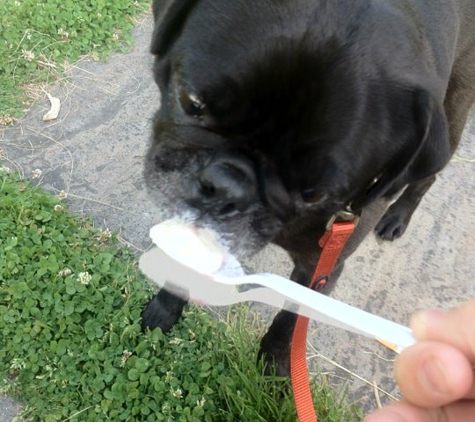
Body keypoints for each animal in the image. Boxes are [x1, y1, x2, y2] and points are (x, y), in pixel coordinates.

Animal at [143, 0, 475, 376]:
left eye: (313, 193)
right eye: (191, 102)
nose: (227, 185)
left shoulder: (319, 270)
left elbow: (290, 319)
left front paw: (274, 364)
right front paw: (166, 306)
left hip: (453, 114)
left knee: (425, 178)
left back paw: (397, 217)